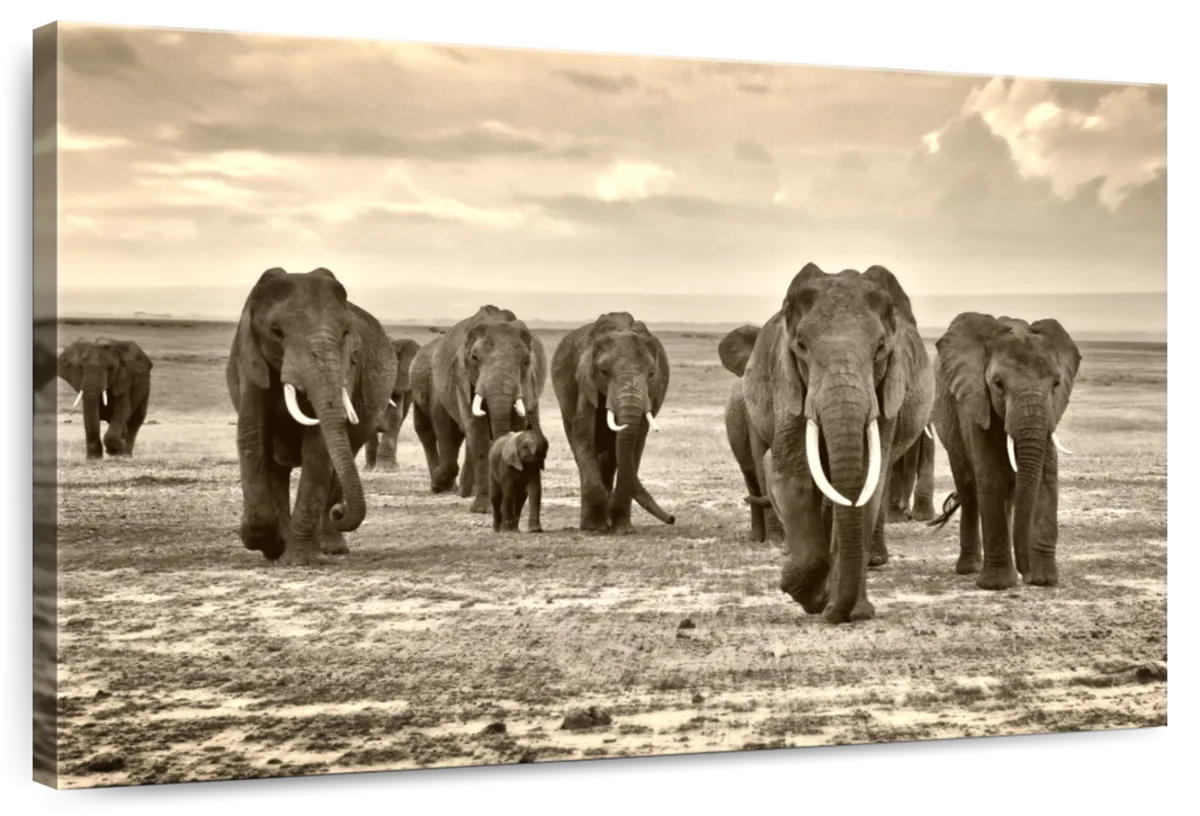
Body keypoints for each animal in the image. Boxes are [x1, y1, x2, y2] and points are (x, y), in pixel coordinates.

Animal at [226, 267, 397, 566]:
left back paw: (331, 547)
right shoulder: (249, 361)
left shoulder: (346, 368)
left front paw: (298, 559)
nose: (340, 512)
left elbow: (318, 448)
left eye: (346, 332)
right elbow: (251, 434)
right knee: (277, 467)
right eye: (276, 332)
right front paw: (267, 543)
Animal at [418, 305, 548, 514]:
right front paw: (482, 509)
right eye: (475, 358)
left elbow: (517, 426)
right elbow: (477, 432)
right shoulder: (463, 380)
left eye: (526, 362)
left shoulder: (526, 383)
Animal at [551, 312, 676, 534]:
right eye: (604, 372)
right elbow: (583, 435)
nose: (672, 518)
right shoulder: (585, 382)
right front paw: (594, 528)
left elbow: (635, 444)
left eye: (652, 374)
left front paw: (622, 529)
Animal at [928, 312, 1081, 589]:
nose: (1025, 572)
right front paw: (997, 585)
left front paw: (1043, 580)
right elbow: (990, 477)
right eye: (998, 384)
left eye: (1056, 383)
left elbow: (1046, 479)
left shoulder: (1051, 412)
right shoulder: (975, 401)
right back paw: (968, 568)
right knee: (969, 489)